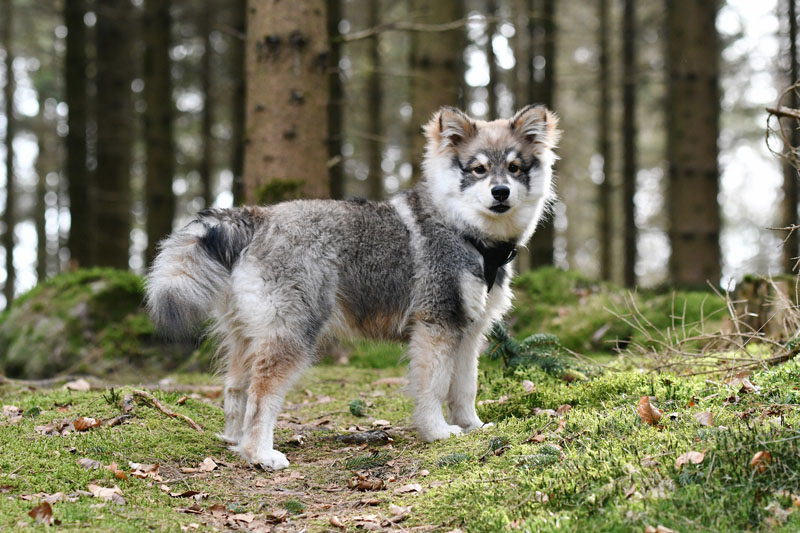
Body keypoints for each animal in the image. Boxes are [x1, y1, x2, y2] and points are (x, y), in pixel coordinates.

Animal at [148, 105, 564, 470]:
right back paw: (259, 455)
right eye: (478, 169)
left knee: (237, 390)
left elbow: (464, 388)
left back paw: (235, 443)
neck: (464, 229)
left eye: (514, 168)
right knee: (261, 394)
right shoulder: (436, 327)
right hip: (292, 334)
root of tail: (257, 218)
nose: (500, 192)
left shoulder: (468, 332)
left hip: (248, 335)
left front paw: (472, 427)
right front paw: (438, 432)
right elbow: (433, 388)